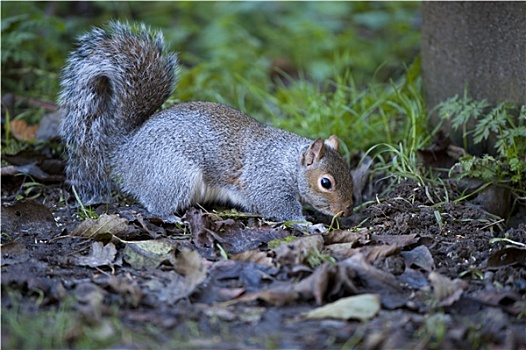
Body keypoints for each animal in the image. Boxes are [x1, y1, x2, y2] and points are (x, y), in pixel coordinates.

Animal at [57, 21, 354, 221]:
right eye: (326, 183)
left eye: (349, 173)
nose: (345, 210)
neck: (288, 163)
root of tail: (125, 151)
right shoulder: (267, 182)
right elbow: (279, 209)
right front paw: (309, 224)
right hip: (174, 174)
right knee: (156, 205)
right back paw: (170, 216)